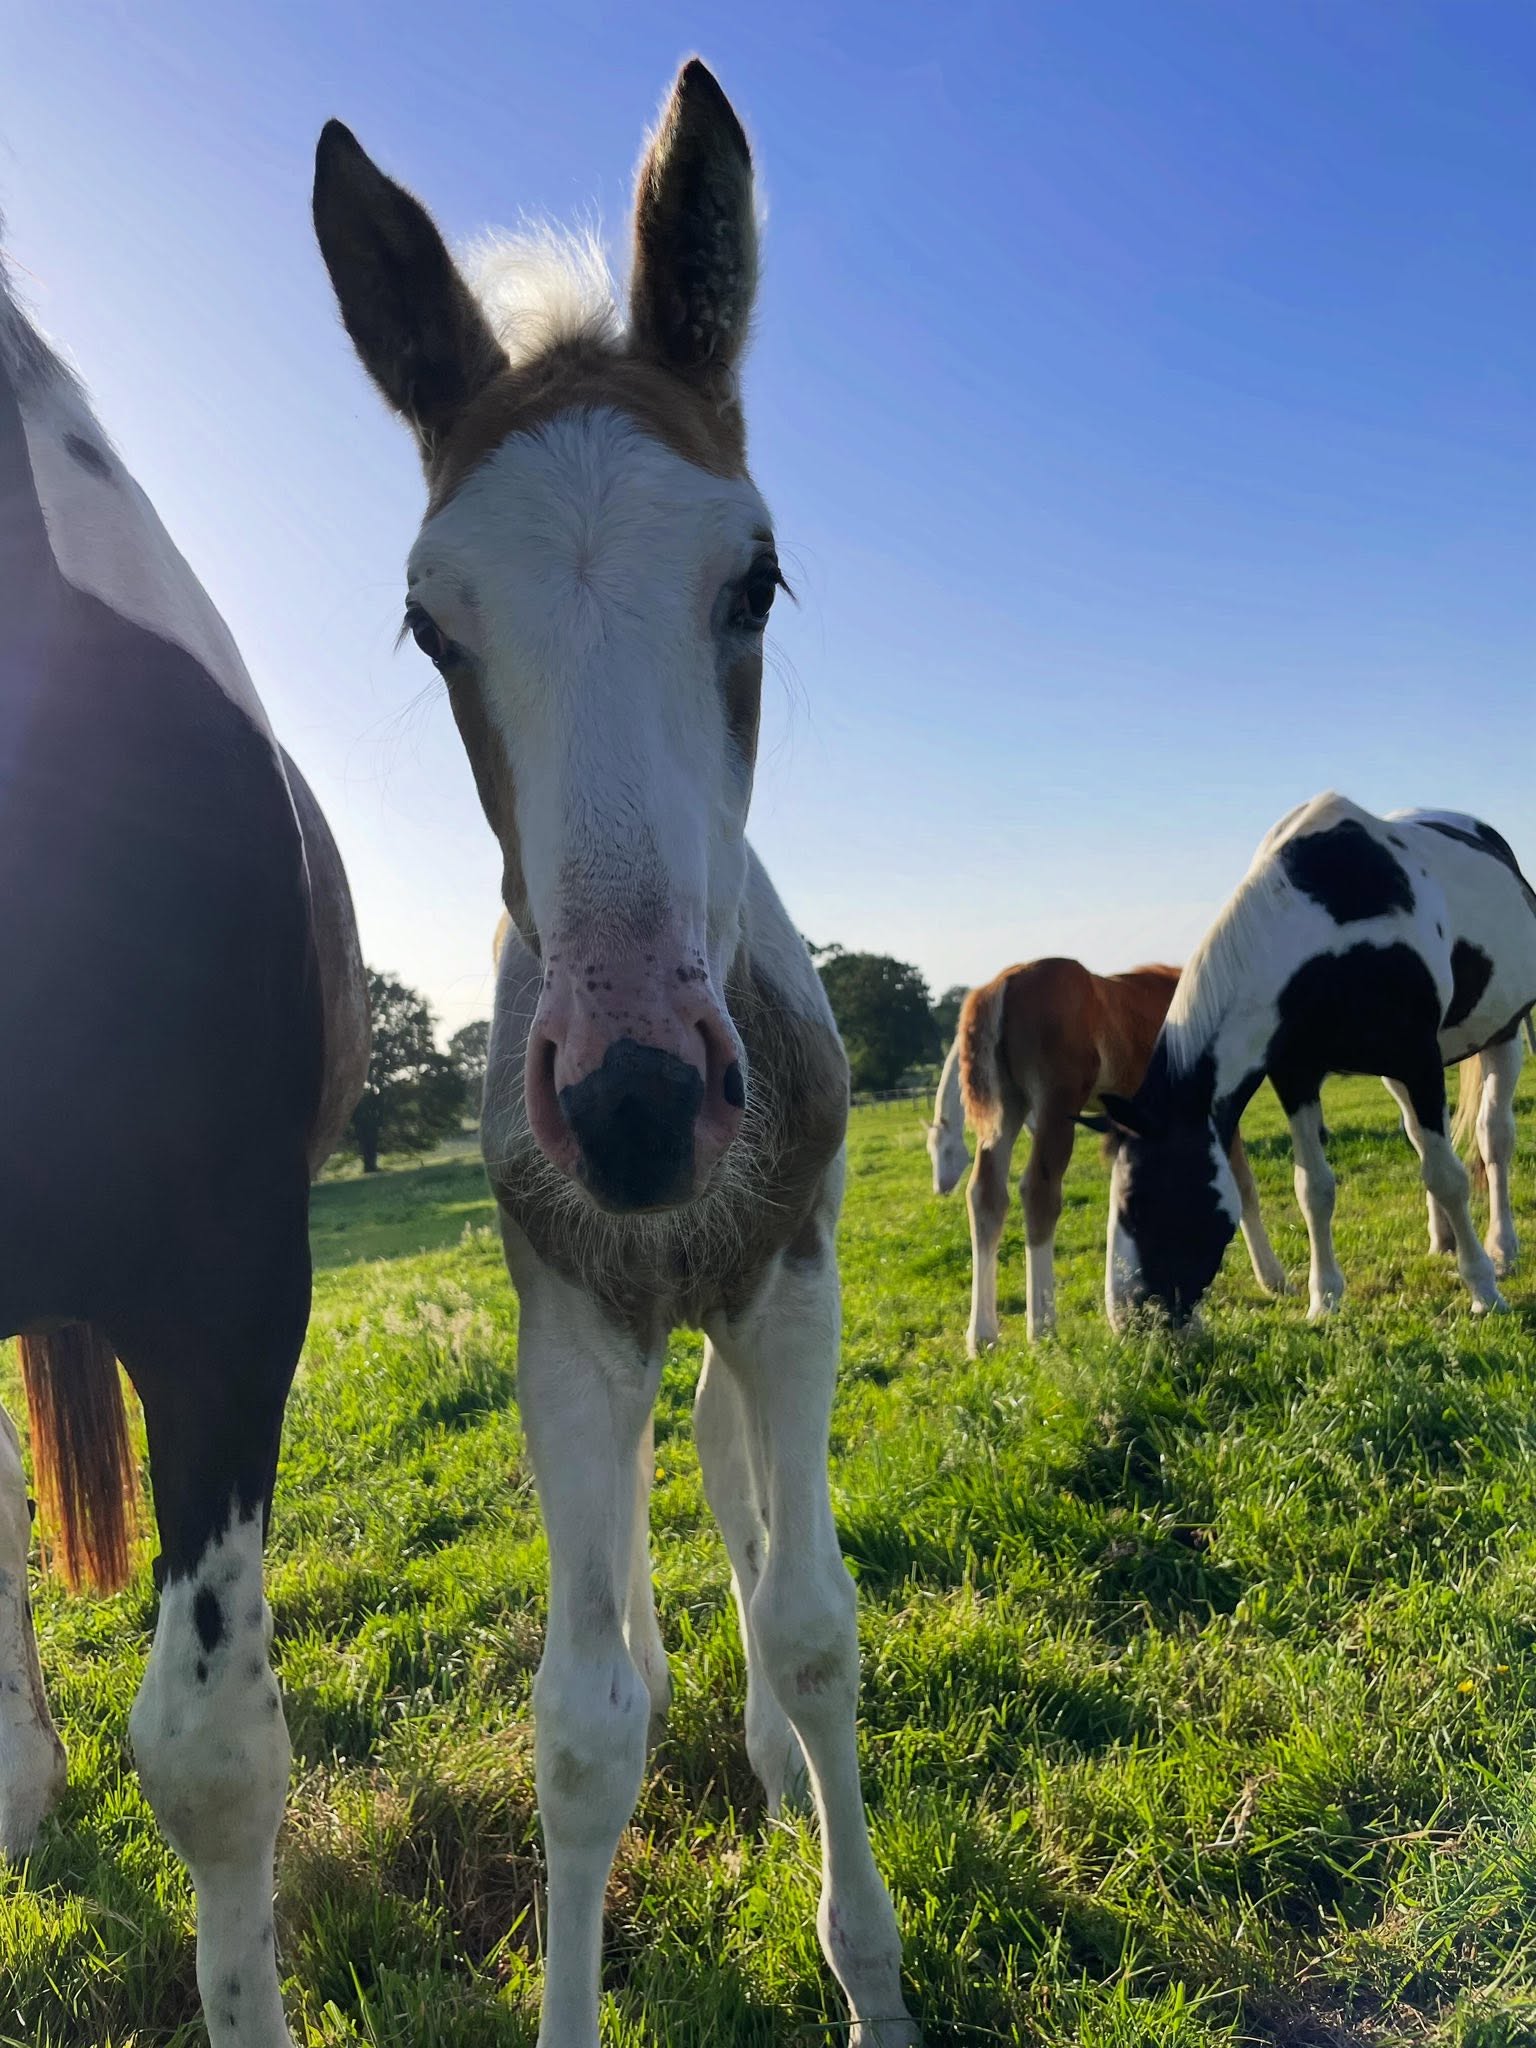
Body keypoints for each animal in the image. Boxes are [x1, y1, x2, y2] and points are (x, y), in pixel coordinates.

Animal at [312, 62, 917, 2048]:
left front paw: (867, 1966)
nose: (638, 1105)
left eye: (757, 581)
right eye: (432, 621)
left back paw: (771, 1757)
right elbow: (578, 1731)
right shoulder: (570, 1320)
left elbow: (811, 1623)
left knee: (732, 1499)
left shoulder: (790, 1284)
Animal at [928, 959, 1285, 1350]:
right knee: (1038, 1191)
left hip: (1007, 1110)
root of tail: (1001, 985)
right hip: (1055, 1105)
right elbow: (1243, 1186)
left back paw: (982, 1335)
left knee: (986, 1196)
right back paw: (1042, 1326)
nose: (939, 1186)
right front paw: (1273, 1278)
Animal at [1102, 793, 1536, 1327]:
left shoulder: (1418, 1062)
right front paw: (1323, 1299)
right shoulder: (1297, 1077)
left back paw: (1502, 1248)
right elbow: (1314, 1189)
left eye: (1137, 1203)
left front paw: (1483, 1290)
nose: (1127, 1320)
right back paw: (1443, 1240)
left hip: (1503, 1035)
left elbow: (1449, 1177)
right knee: (1421, 1139)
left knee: (1492, 1138)